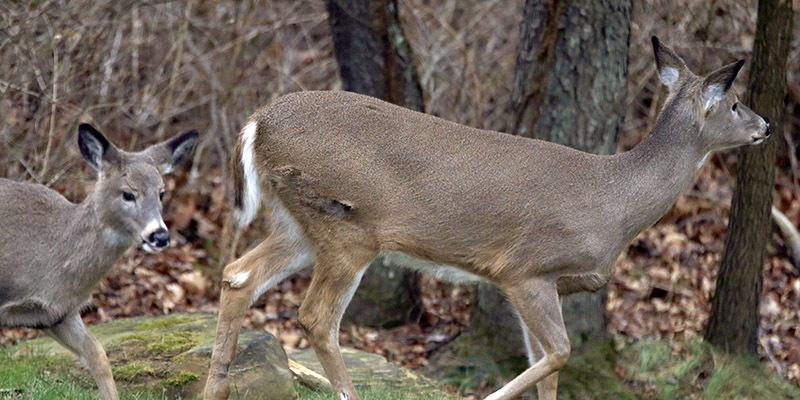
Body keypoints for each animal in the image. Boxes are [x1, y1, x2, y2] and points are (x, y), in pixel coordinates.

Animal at [203, 36, 769, 400]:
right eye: (735, 103)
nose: (765, 125)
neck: (616, 203)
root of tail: (257, 121)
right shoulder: (526, 269)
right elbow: (558, 354)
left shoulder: (544, 283)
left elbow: (546, 366)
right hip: (347, 225)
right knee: (317, 316)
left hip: (299, 221)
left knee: (238, 275)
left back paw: (217, 388)